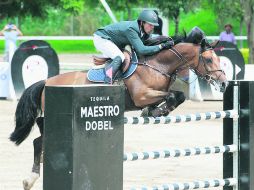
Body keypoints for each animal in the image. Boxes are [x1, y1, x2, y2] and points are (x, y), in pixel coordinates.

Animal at [9, 37, 228, 190]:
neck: (159, 66)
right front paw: (156, 110)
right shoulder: (141, 96)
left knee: (39, 139)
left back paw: (32, 176)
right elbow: (174, 95)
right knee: (39, 135)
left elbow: (178, 96)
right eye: (209, 59)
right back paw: (30, 179)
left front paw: (155, 110)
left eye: (218, 59)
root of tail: (47, 81)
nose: (224, 84)